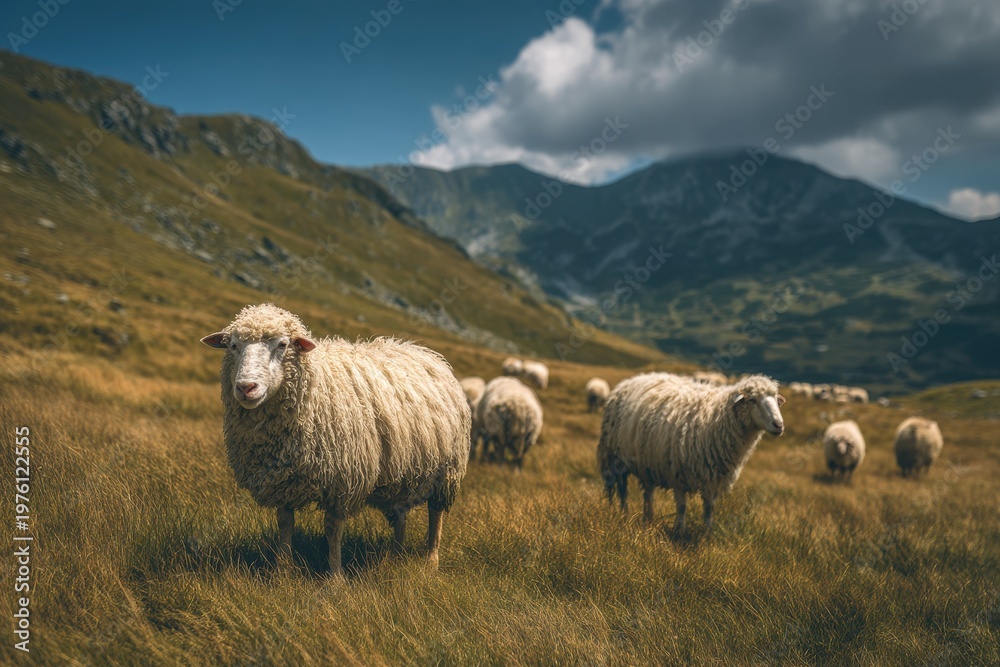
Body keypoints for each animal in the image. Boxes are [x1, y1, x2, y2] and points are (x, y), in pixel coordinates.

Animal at [200, 304, 470, 575]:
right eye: (233, 345)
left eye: (282, 344)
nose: (246, 387)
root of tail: (423, 351)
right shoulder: (283, 480)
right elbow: (285, 524)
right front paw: (282, 570)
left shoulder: (342, 480)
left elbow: (333, 530)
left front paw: (335, 575)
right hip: (402, 470)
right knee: (400, 513)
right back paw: (395, 555)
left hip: (447, 471)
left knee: (436, 514)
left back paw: (431, 560)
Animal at [598, 373, 785, 535]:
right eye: (752, 400)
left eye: (776, 398)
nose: (779, 425)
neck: (715, 419)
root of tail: (633, 379)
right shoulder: (678, 473)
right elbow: (681, 507)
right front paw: (679, 531)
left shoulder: (714, 478)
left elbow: (709, 508)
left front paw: (706, 534)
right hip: (615, 458)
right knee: (622, 490)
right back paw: (623, 514)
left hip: (647, 461)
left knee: (648, 492)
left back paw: (648, 518)